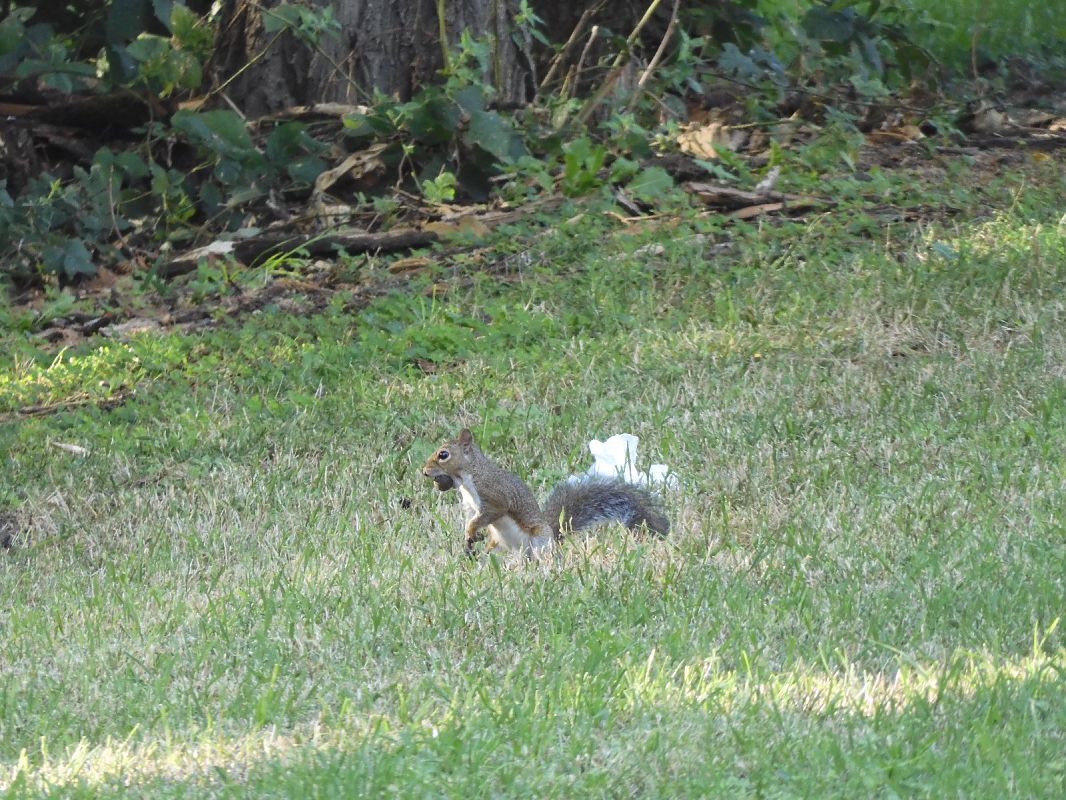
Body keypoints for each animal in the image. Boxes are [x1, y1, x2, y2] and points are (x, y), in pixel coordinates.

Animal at [422, 428, 669, 558]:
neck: (469, 476)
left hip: (539, 540)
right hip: (500, 546)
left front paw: (472, 529)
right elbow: (471, 517)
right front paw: (469, 535)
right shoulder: (470, 504)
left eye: (443, 455)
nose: (424, 471)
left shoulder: (494, 495)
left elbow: (490, 512)